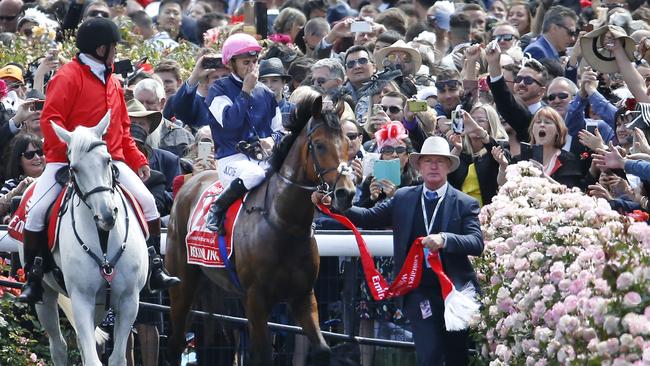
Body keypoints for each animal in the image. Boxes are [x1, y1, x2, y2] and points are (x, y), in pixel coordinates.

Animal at [19, 113, 149, 364]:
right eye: (75, 169)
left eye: (108, 160)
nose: (107, 215)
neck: (104, 237)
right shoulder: (81, 300)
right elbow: (92, 360)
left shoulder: (129, 302)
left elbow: (117, 358)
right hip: (47, 296)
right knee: (58, 346)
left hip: (100, 305)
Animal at [163, 91, 354, 364]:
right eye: (319, 145)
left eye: (348, 143)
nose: (346, 194)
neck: (284, 224)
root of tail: (190, 180)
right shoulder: (255, 299)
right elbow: (262, 354)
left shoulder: (303, 296)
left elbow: (322, 349)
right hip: (182, 284)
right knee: (174, 344)